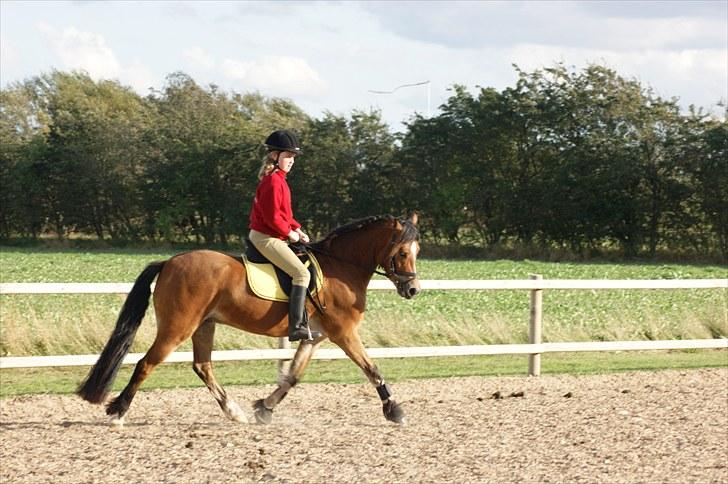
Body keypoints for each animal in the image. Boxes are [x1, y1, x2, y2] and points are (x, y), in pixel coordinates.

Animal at [77, 214, 421, 426]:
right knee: (146, 363)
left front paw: (264, 409)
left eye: (418, 250)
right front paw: (394, 410)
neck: (342, 267)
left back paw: (235, 412)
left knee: (203, 366)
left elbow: (292, 377)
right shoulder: (343, 333)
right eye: (403, 252)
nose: (413, 289)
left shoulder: (316, 337)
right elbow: (371, 368)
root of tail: (170, 262)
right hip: (178, 327)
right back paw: (118, 412)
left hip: (204, 325)